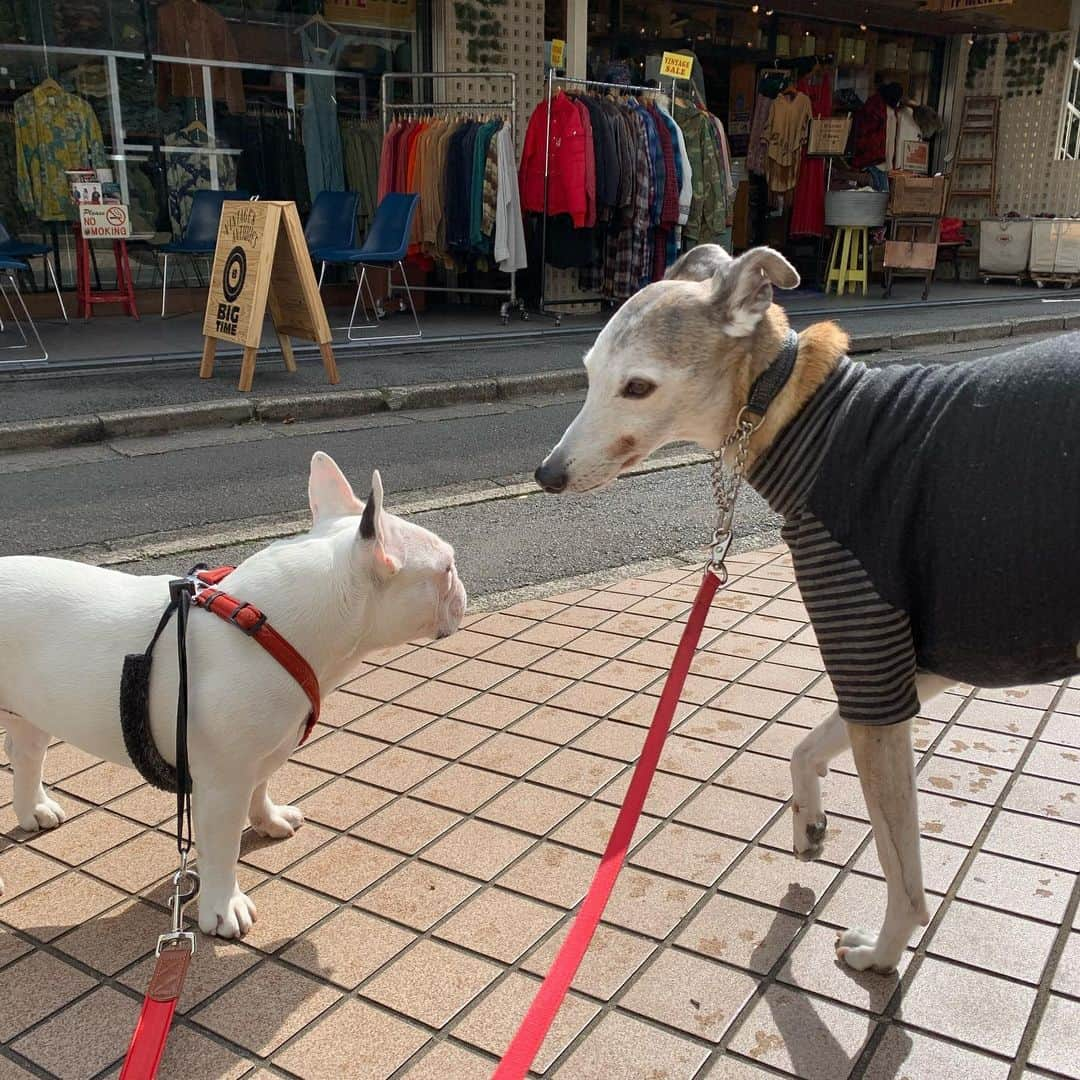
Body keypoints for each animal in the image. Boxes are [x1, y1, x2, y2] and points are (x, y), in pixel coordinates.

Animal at [533, 243, 1080, 972]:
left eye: (639, 387)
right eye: (590, 373)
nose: (546, 475)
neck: (805, 410)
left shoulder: (868, 640)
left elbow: (901, 868)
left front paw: (884, 950)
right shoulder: (917, 658)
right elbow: (805, 746)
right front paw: (810, 824)